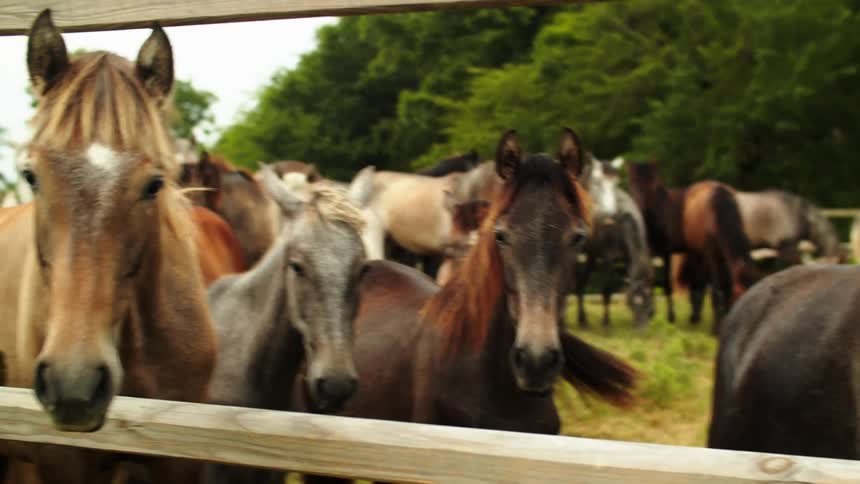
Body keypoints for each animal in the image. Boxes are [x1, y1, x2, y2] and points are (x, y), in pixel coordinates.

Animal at [576, 156, 654, 329]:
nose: (642, 329)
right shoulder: (608, 258)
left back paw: (582, 320)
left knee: (582, 281)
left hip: (592, 255)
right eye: (633, 302)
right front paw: (606, 322)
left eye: (648, 301)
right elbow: (607, 289)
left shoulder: (631, 259)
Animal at [627, 161, 760, 329]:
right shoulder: (668, 252)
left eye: (653, 185)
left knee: (697, 284)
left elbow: (724, 287)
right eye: (632, 183)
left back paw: (695, 316)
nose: (639, 207)